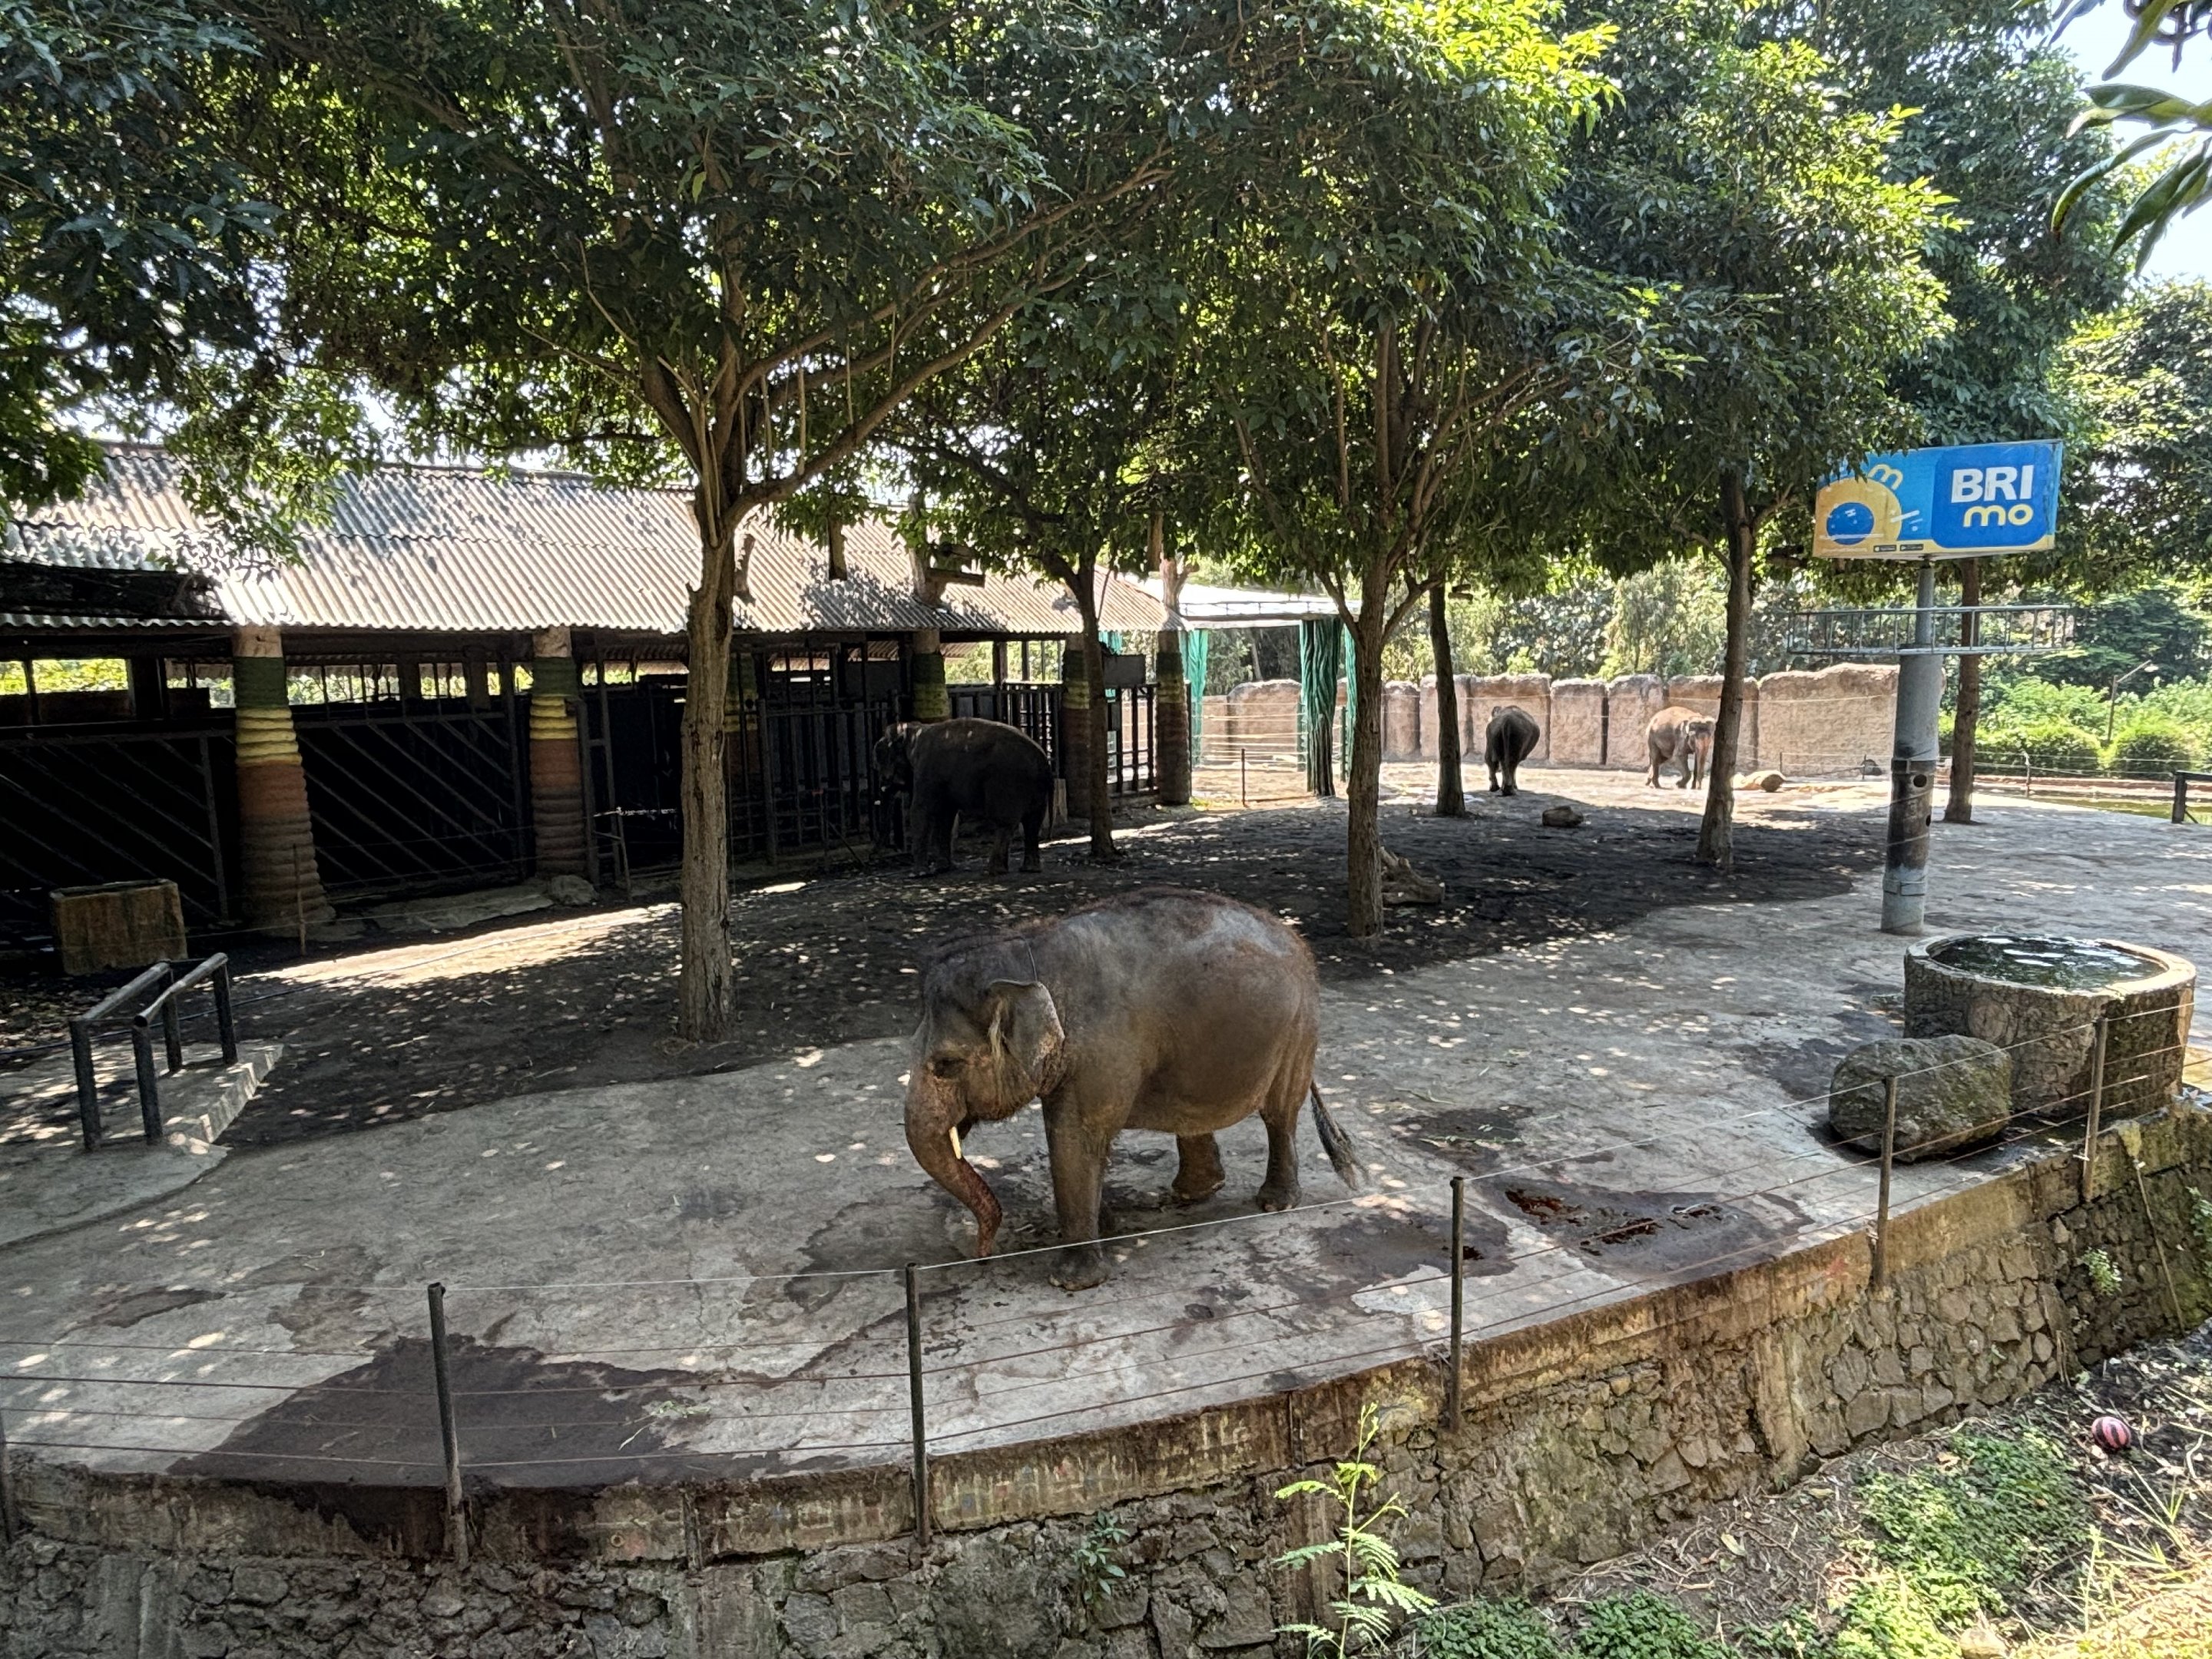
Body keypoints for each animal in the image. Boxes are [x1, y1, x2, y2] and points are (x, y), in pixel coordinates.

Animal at [873, 717, 1054, 877]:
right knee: (1033, 823)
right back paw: (1029, 869)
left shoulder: (926, 771)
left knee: (1005, 823)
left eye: (881, 759)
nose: (877, 855)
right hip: (1034, 787)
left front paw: (918, 875)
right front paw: (943, 869)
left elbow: (921, 811)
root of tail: (1044, 759)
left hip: (1007, 783)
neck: (913, 730)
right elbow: (945, 815)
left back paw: (992, 872)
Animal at [903, 888, 1362, 1289]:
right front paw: (1106, 1227)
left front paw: (1071, 1282)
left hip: (1298, 1030)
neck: (1028, 951)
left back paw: (1274, 1203)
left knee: (1279, 1114)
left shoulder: (1103, 1051)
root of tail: (1296, 939)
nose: (982, 1254)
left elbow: (1074, 1136)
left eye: (945, 1065)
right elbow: (1083, 1143)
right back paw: (1191, 1194)